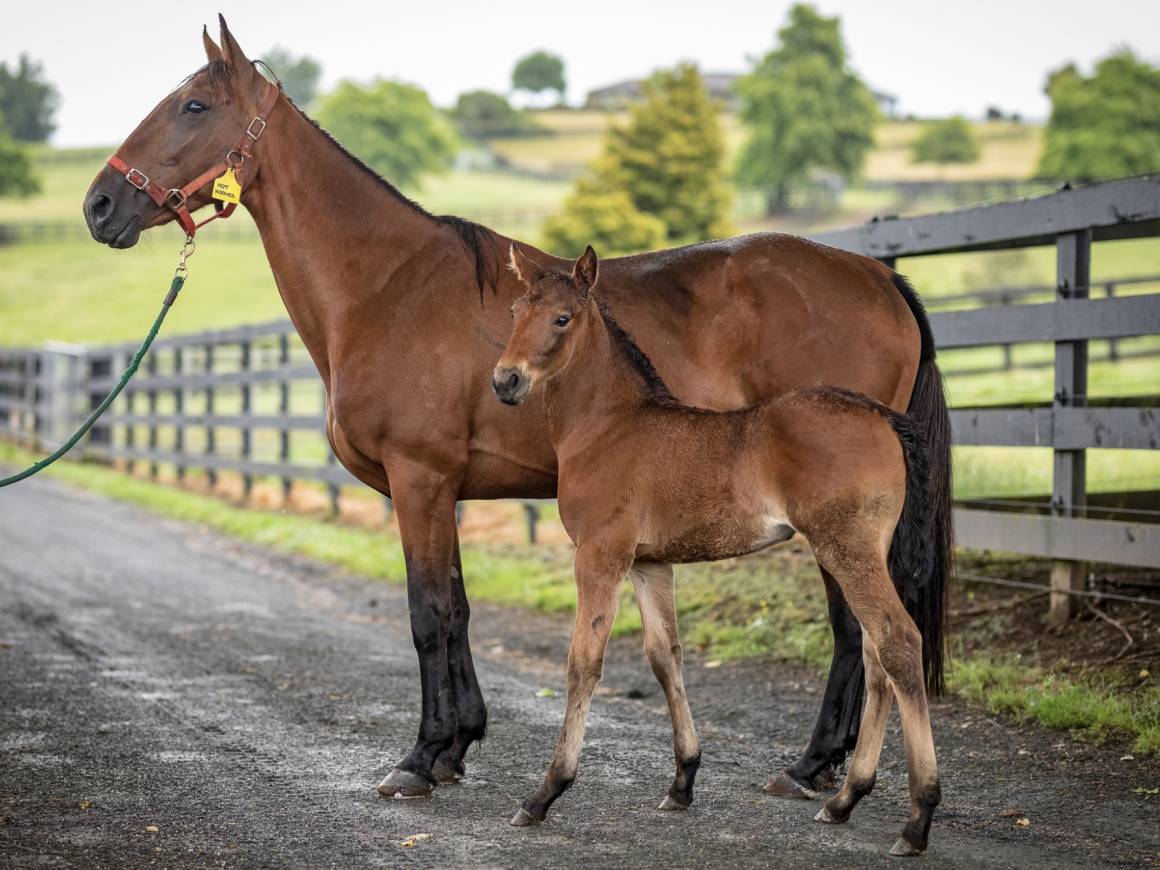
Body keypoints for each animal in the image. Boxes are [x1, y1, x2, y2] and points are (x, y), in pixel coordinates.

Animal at [489, 245, 941, 858]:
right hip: (867, 552)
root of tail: (883, 417)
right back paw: (845, 799)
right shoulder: (650, 564)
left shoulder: (600, 556)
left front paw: (545, 794)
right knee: (876, 654)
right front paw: (682, 781)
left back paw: (917, 818)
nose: (505, 380)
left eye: (562, 318)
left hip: (846, 548)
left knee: (897, 642)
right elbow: (665, 656)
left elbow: (583, 663)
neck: (611, 425)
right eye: (515, 311)